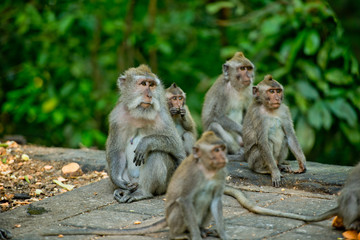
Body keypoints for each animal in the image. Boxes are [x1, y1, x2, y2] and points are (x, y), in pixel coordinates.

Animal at [105, 63, 186, 202]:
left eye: (152, 85)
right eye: (143, 84)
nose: (150, 96)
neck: (140, 113)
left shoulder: (163, 115)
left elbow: (177, 146)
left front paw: (145, 143)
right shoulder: (117, 115)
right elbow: (117, 150)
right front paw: (119, 181)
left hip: (163, 184)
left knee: (156, 152)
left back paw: (142, 192)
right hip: (132, 180)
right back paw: (125, 190)